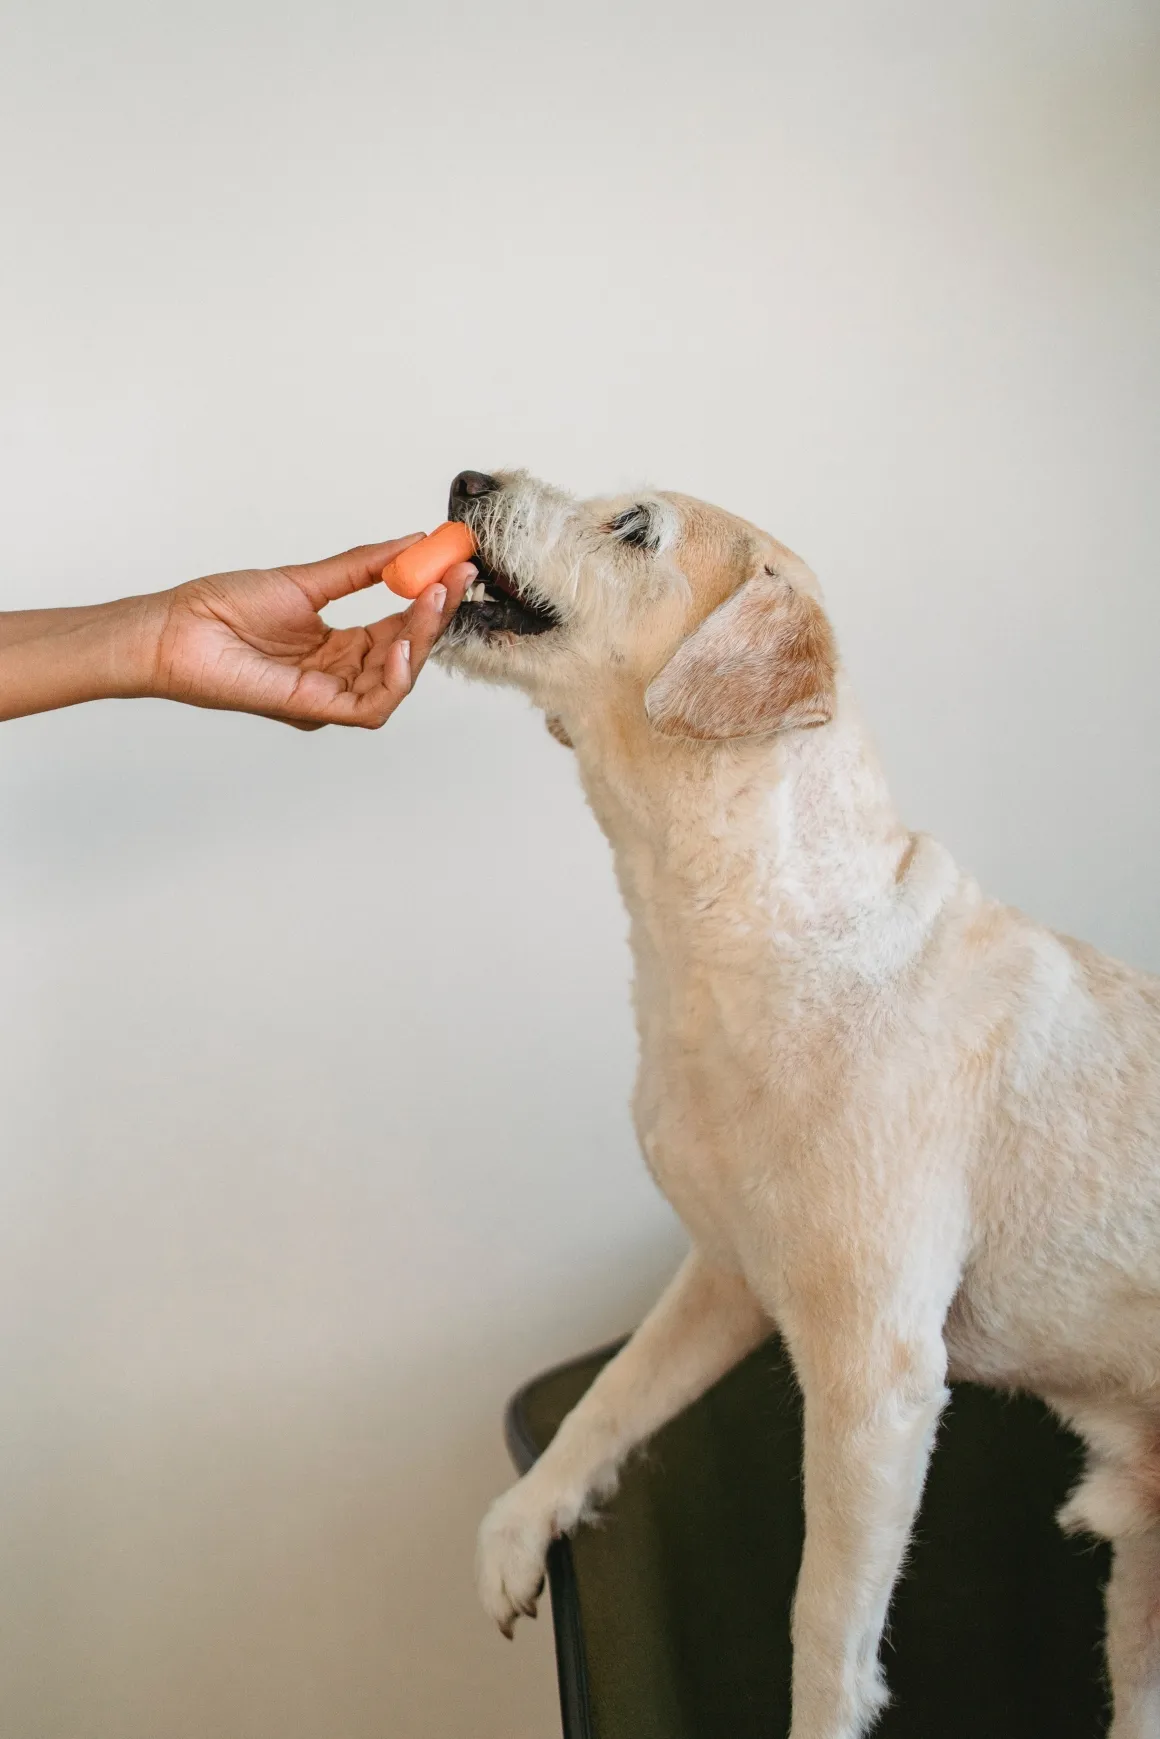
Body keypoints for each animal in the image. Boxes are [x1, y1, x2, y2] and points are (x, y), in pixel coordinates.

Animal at [433, 469, 1160, 1732]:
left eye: (635, 528)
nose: (467, 480)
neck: (744, 939)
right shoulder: (721, 1271)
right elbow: (607, 1398)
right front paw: (520, 1526)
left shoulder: (873, 1379)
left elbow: (823, 1619)